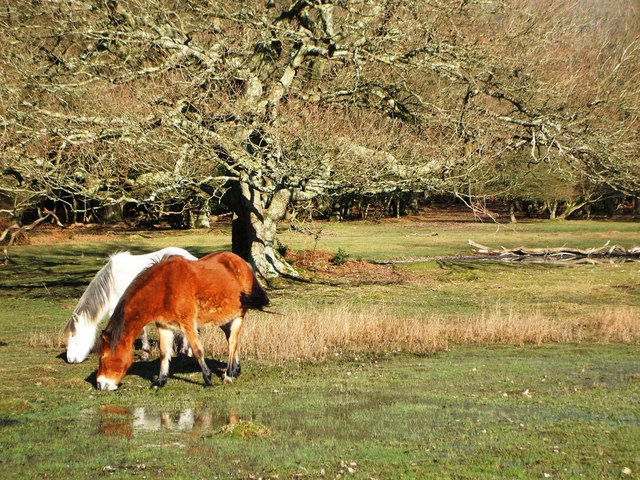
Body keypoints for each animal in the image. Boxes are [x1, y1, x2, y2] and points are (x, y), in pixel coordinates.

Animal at [95, 251, 268, 390]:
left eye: (102, 356)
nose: (100, 384)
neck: (165, 288)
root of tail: (242, 263)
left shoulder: (188, 324)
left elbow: (197, 350)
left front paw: (208, 379)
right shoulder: (163, 326)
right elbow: (164, 352)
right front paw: (160, 381)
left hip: (239, 315)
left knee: (233, 341)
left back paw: (229, 374)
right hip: (223, 318)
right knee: (230, 338)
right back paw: (236, 369)